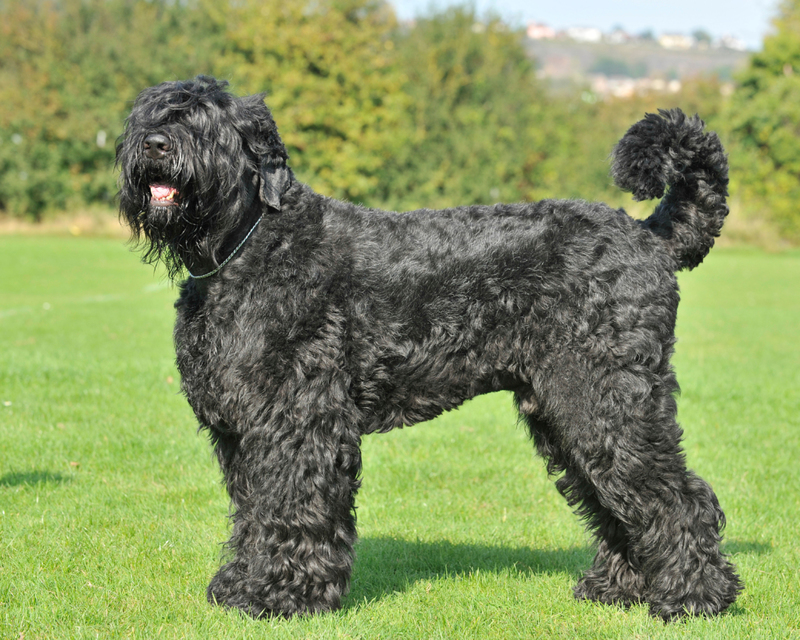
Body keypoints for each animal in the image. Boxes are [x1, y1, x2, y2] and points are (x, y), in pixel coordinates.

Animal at [117, 76, 744, 620]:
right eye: (148, 115)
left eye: (207, 121)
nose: (156, 143)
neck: (248, 246)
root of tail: (649, 237)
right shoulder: (242, 431)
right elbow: (253, 511)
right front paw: (242, 586)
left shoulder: (298, 421)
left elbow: (289, 505)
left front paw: (280, 596)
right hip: (566, 410)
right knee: (615, 499)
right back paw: (620, 589)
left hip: (605, 400)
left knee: (678, 497)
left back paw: (693, 598)